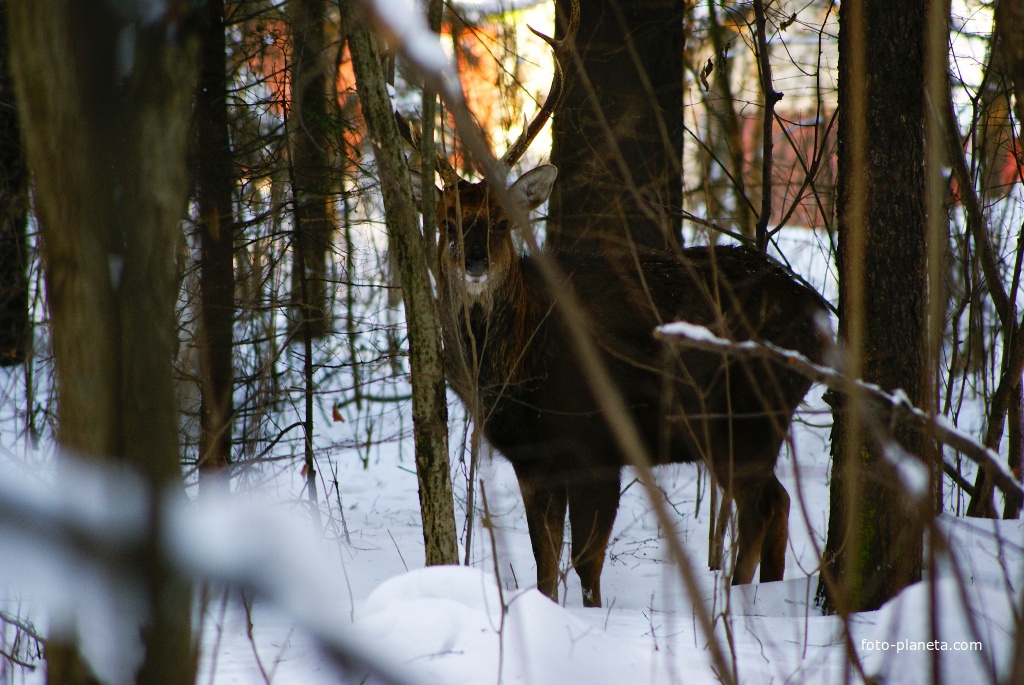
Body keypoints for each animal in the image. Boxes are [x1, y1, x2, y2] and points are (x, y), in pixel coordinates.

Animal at [403, 0, 827, 610]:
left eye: (505, 222)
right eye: (447, 223)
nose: (475, 261)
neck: (519, 367)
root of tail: (820, 319)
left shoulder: (597, 443)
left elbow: (586, 565)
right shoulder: (533, 459)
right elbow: (545, 565)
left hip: (743, 417)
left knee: (763, 506)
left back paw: (737, 603)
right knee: (778, 503)